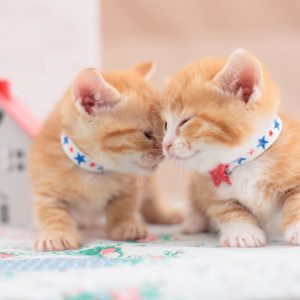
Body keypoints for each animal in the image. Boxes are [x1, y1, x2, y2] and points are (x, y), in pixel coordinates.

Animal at [162, 48, 300, 246]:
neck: (244, 162)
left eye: (185, 121)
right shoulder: (208, 188)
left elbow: (296, 201)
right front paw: (243, 233)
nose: (165, 145)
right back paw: (194, 222)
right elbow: (228, 209)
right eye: (165, 125)